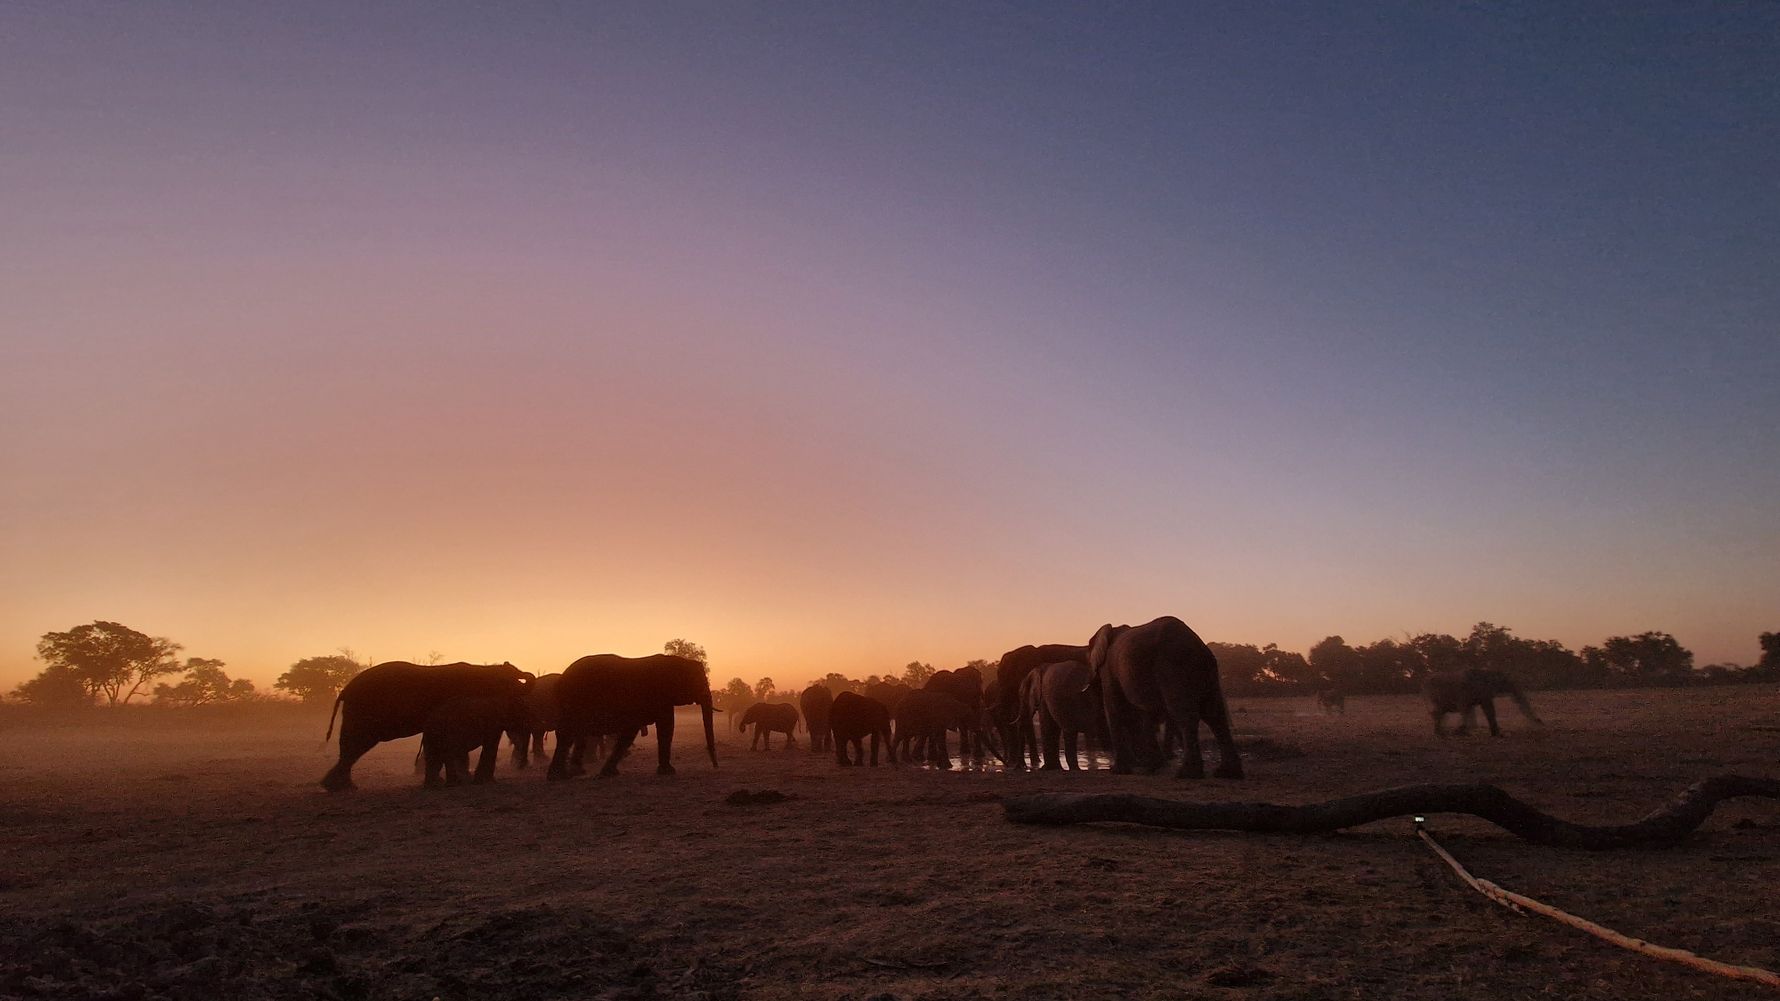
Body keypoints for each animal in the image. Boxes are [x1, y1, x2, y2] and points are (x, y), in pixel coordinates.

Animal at [321, 660, 534, 792]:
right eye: (512, 681)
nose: (510, 664)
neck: (484, 670)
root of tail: (345, 690)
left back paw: (338, 786)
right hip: (362, 712)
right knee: (355, 744)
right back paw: (340, 788)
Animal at [547, 653, 719, 779]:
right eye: (699, 683)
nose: (716, 767)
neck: (676, 660)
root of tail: (561, 680)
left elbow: (630, 733)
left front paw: (609, 773)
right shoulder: (659, 696)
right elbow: (665, 727)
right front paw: (669, 772)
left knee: (572, 735)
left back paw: (564, 775)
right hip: (575, 701)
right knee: (568, 734)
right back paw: (561, 776)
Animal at [1088, 616, 1243, 779]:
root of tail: (1198, 646)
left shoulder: (1109, 669)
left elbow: (1116, 709)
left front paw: (1118, 771)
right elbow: (1144, 713)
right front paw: (1152, 768)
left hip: (1173, 668)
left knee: (1185, 715)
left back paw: (1187, 774)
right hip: (1206, 671)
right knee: (1215, 715)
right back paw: (1227, 773)